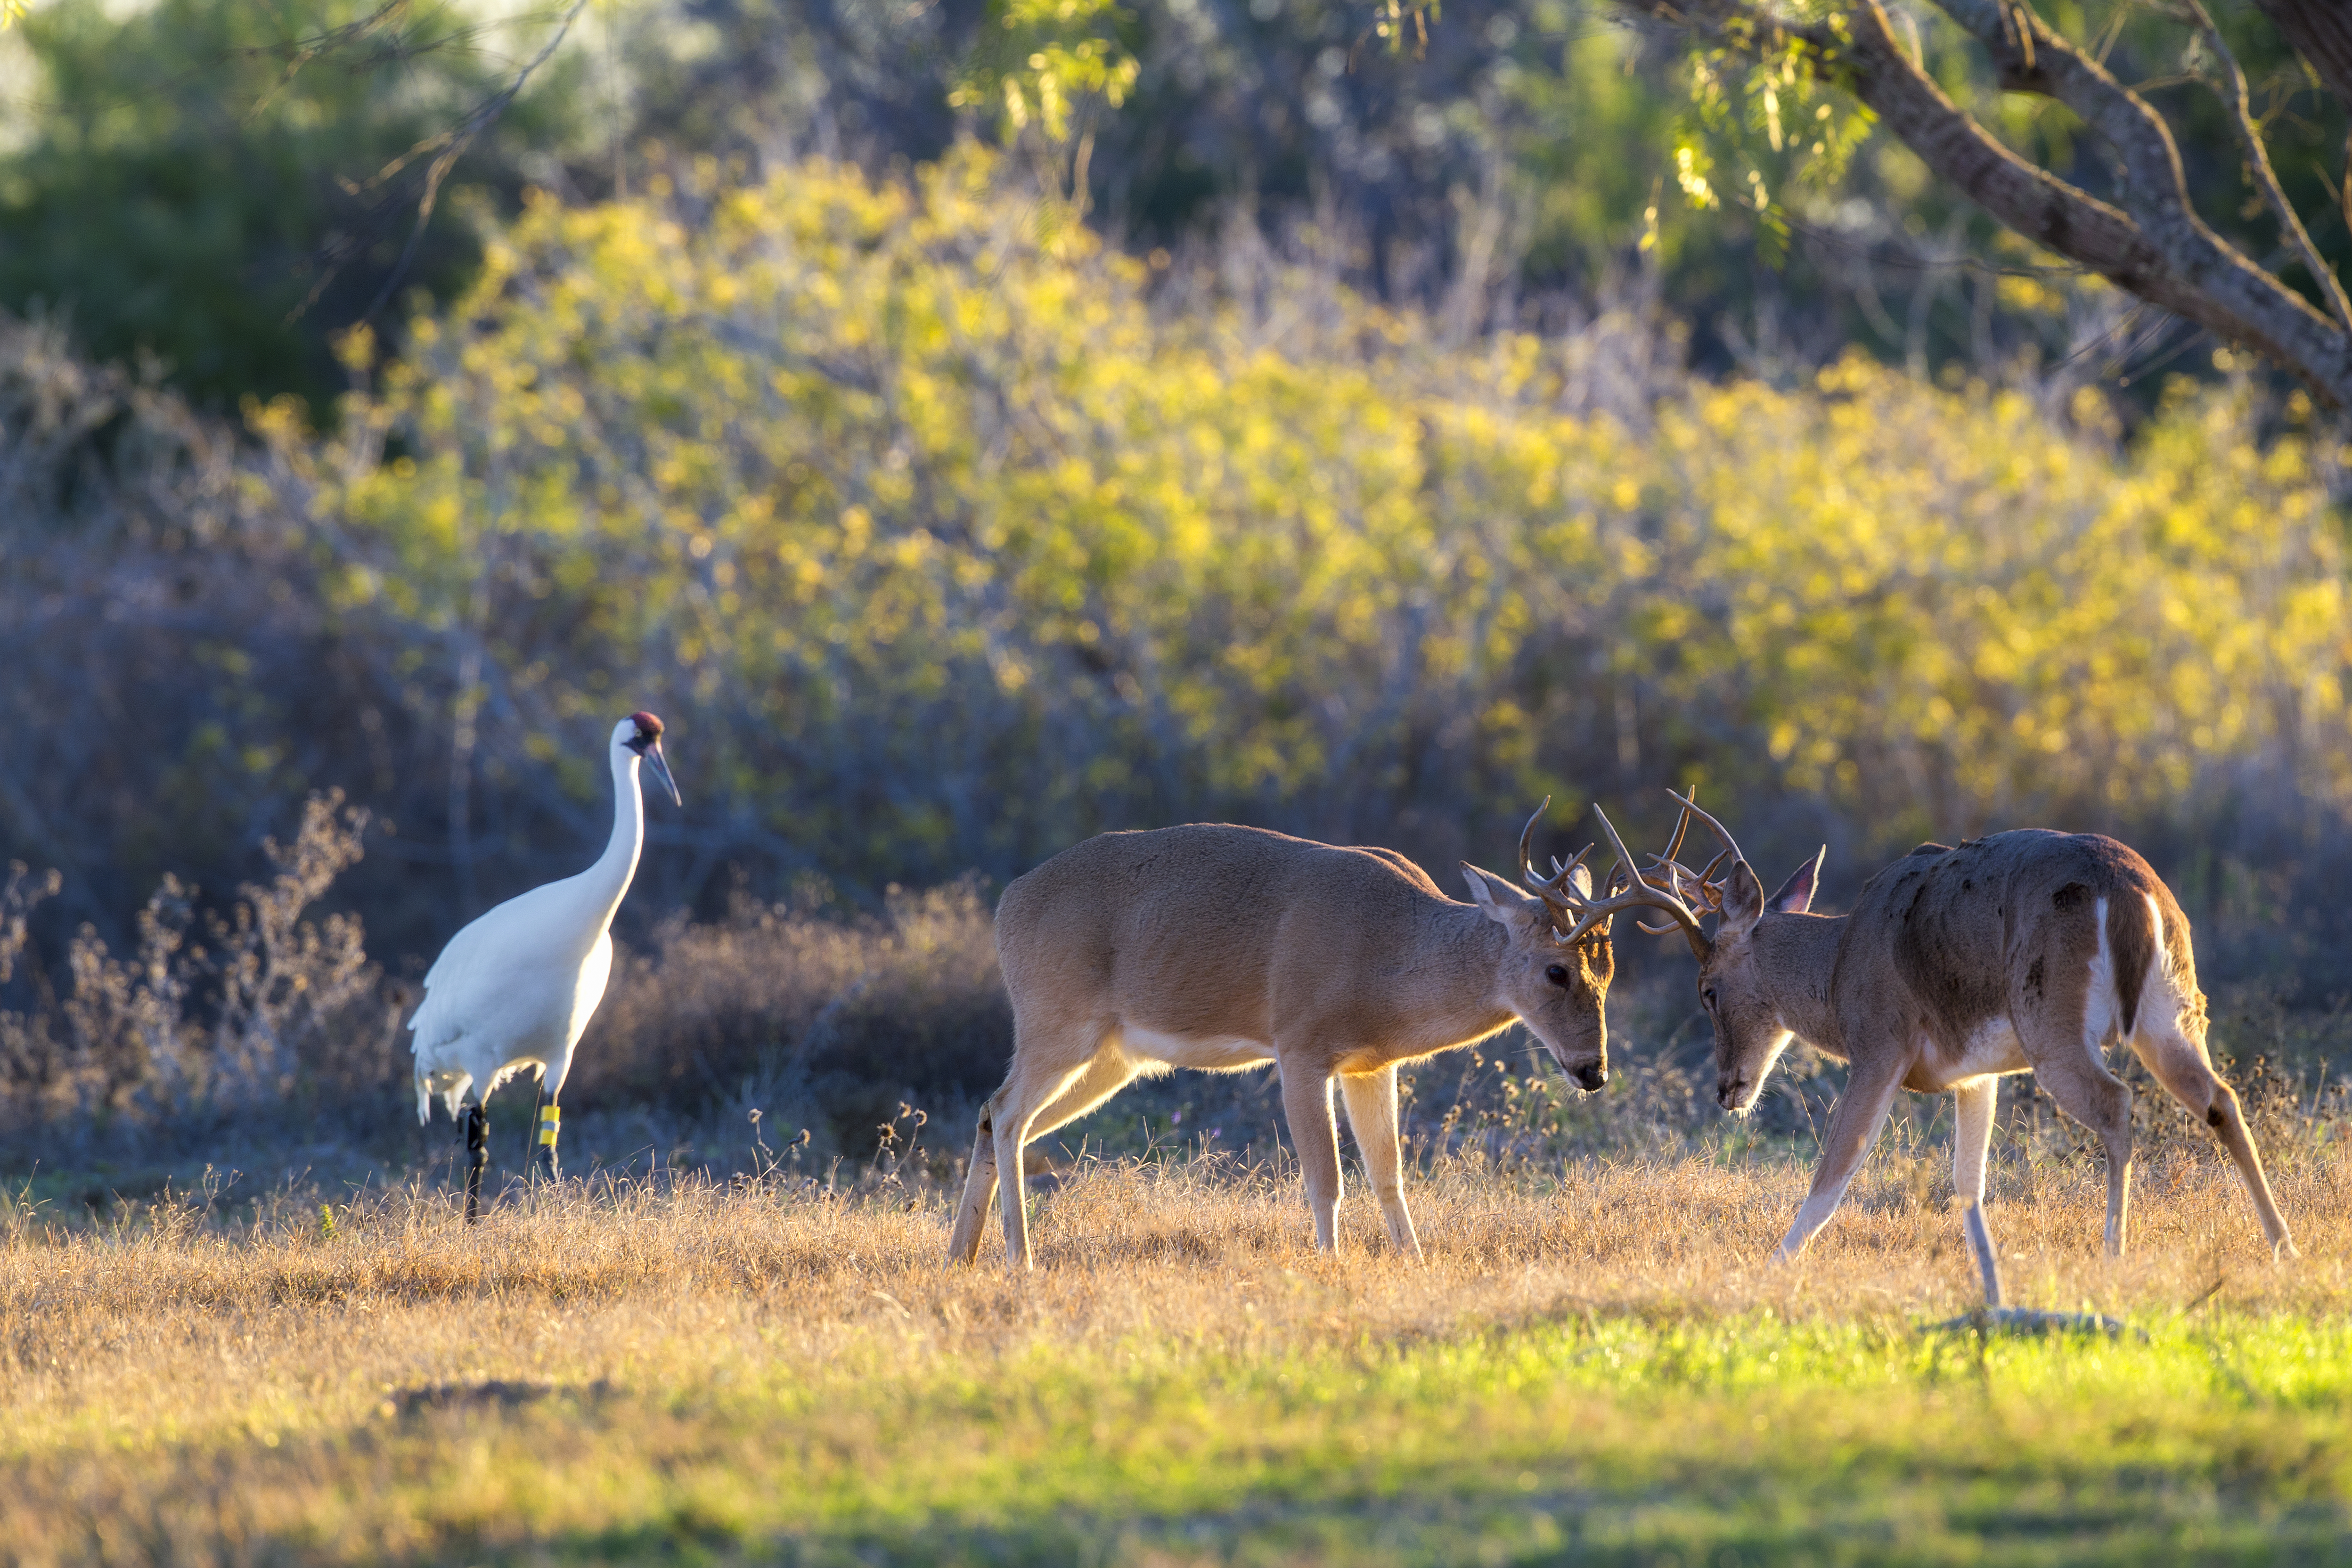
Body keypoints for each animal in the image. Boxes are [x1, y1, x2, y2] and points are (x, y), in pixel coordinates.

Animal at [945, 804, 1675, 1268]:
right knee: (1007, 1114)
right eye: (1557, 969)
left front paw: (1415, 1263)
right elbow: (1327, 1179)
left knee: (992, 1112)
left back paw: (961, 1257)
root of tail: (1007, 904)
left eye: (1609, 970)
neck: (1390, 955)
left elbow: (1388, 1174)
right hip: (1057, 1023)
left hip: (1112, 1057)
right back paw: (1019, 1260)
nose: (1592, 1070)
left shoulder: (1370, 1064)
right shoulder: (1300, 1047)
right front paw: (1332, 1267)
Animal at [1559, 792, 2295, 1279]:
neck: (1839, 965)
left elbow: (1835, 1169)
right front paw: (1988, 1278)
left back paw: (2114, 1253)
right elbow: (1967, 1185)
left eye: (1707, 990)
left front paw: (1769, 1271)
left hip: (2051, 1018)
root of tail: (2131, 891)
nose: (1726, 1090)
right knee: (2221, 1099)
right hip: (2172, 1009)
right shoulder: (1978, 1074)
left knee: (2117, 1103)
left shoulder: (1879, 1044)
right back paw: (2283, 1246)